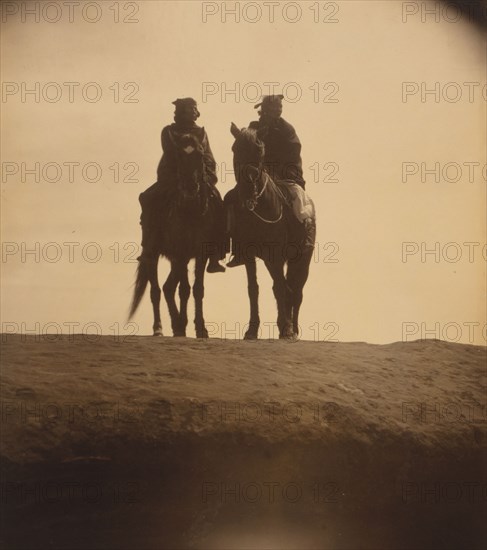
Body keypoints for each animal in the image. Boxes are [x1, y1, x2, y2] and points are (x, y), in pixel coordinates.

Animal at [230, 124, 316, 340]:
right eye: (235, 149)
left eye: (260, 150)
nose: (247, 188)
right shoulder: (250, 254)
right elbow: (254, 289)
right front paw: (252, 329)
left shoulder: (276, 255)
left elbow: (280, 288)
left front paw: (287, 329)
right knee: (286, 287)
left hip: (302, 259)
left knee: (295, 291)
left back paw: (293, 328)